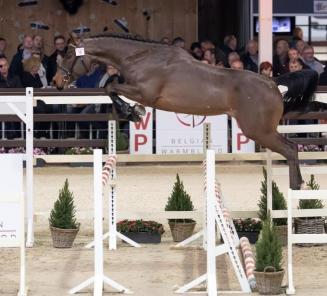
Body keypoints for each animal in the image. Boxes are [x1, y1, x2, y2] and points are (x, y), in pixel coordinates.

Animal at [52, 33, 320, 190]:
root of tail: (273, 84)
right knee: (292, 148)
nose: (56, 82)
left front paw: (133, 112)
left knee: (290, 148)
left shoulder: (144, 93)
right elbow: (110, 86)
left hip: (258, 131)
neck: (141, 57)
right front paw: (132, 112)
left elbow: (110, 86)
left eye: (69, 54)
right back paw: (299, 187)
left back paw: (296, 188)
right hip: (261, 130)